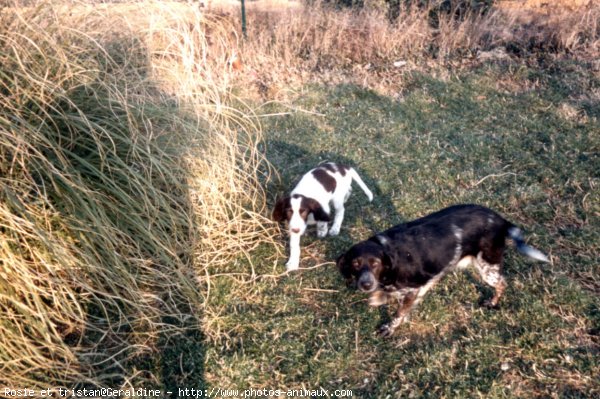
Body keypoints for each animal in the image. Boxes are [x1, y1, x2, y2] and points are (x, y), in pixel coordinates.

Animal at [338, 206, 548, 338]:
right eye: (356, 263)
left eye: (375, 264)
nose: (366, 284)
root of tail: (501, 220)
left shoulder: (412, 289)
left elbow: (399, 313)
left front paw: (390, 327)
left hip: (487, 268)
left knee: (502, 284)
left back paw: (492, 302)